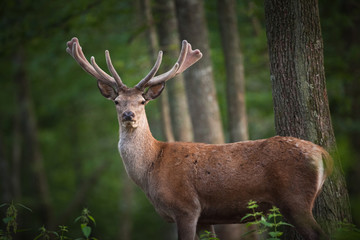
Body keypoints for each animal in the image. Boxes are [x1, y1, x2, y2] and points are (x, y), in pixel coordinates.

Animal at [67, 37, 332, 240]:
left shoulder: (185, 207)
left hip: (295, 198)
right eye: (117, 101)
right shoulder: (205, 216)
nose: (128, 115)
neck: (151, 169)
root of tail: (323, 154)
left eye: (142, 101)